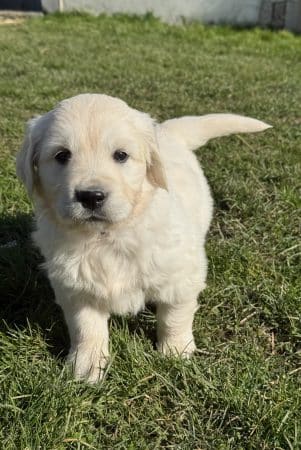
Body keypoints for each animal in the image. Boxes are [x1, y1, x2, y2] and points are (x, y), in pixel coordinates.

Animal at [16, 93, 270, 382]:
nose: (91, 196)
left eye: (121, 155)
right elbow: (86, 327)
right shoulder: (75, 286)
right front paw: (87, 364)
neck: (107, 235)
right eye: (62, 155)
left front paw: (176, 351)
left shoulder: (181, 276)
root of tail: (167, 131)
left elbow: (175, 316)